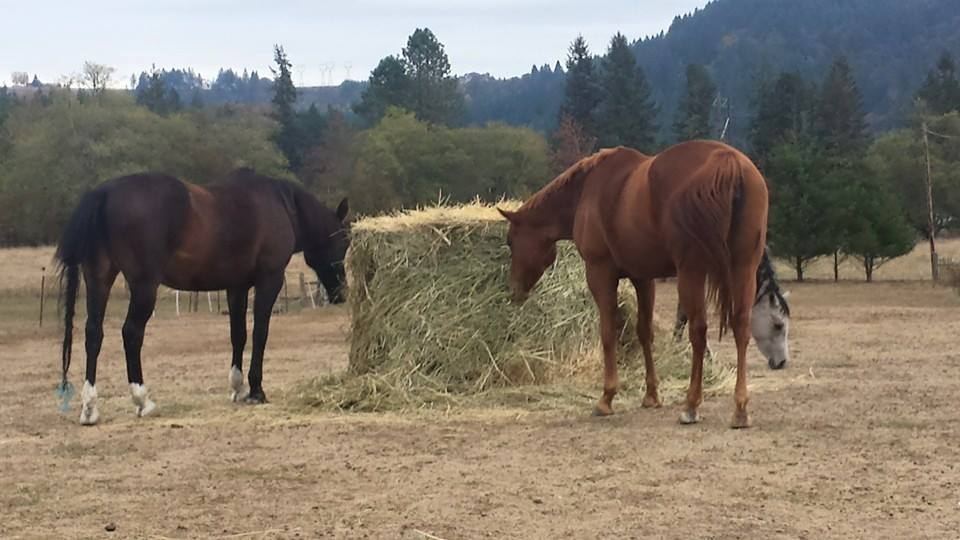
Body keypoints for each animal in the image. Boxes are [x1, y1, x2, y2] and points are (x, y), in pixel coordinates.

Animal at [55, 167, 350, 425]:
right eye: (345, 242)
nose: (341, 294)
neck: (282, 205)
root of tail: (104, 192)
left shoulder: (236, 286)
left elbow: (238, 334)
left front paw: (237, 387)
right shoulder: (269, 280)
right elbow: (260, 333)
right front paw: (256, 390)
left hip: (99, 278)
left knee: (93, 333)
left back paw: (90, 409)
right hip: (144, 286)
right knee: (131, 333)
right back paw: (142, 400)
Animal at [498, 140, 785, 428]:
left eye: (510, 241)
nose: (514, 290)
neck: (586, 190)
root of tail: (729, 162)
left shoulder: (600, 273)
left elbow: (608, 332)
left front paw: (607, 397)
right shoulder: (643, 278)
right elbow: (645, 332)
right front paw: (651, 395)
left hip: (692, 271)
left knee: (698, 331)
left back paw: (691, 405)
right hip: (742, 267)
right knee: (740, 327)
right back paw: (740, 409)